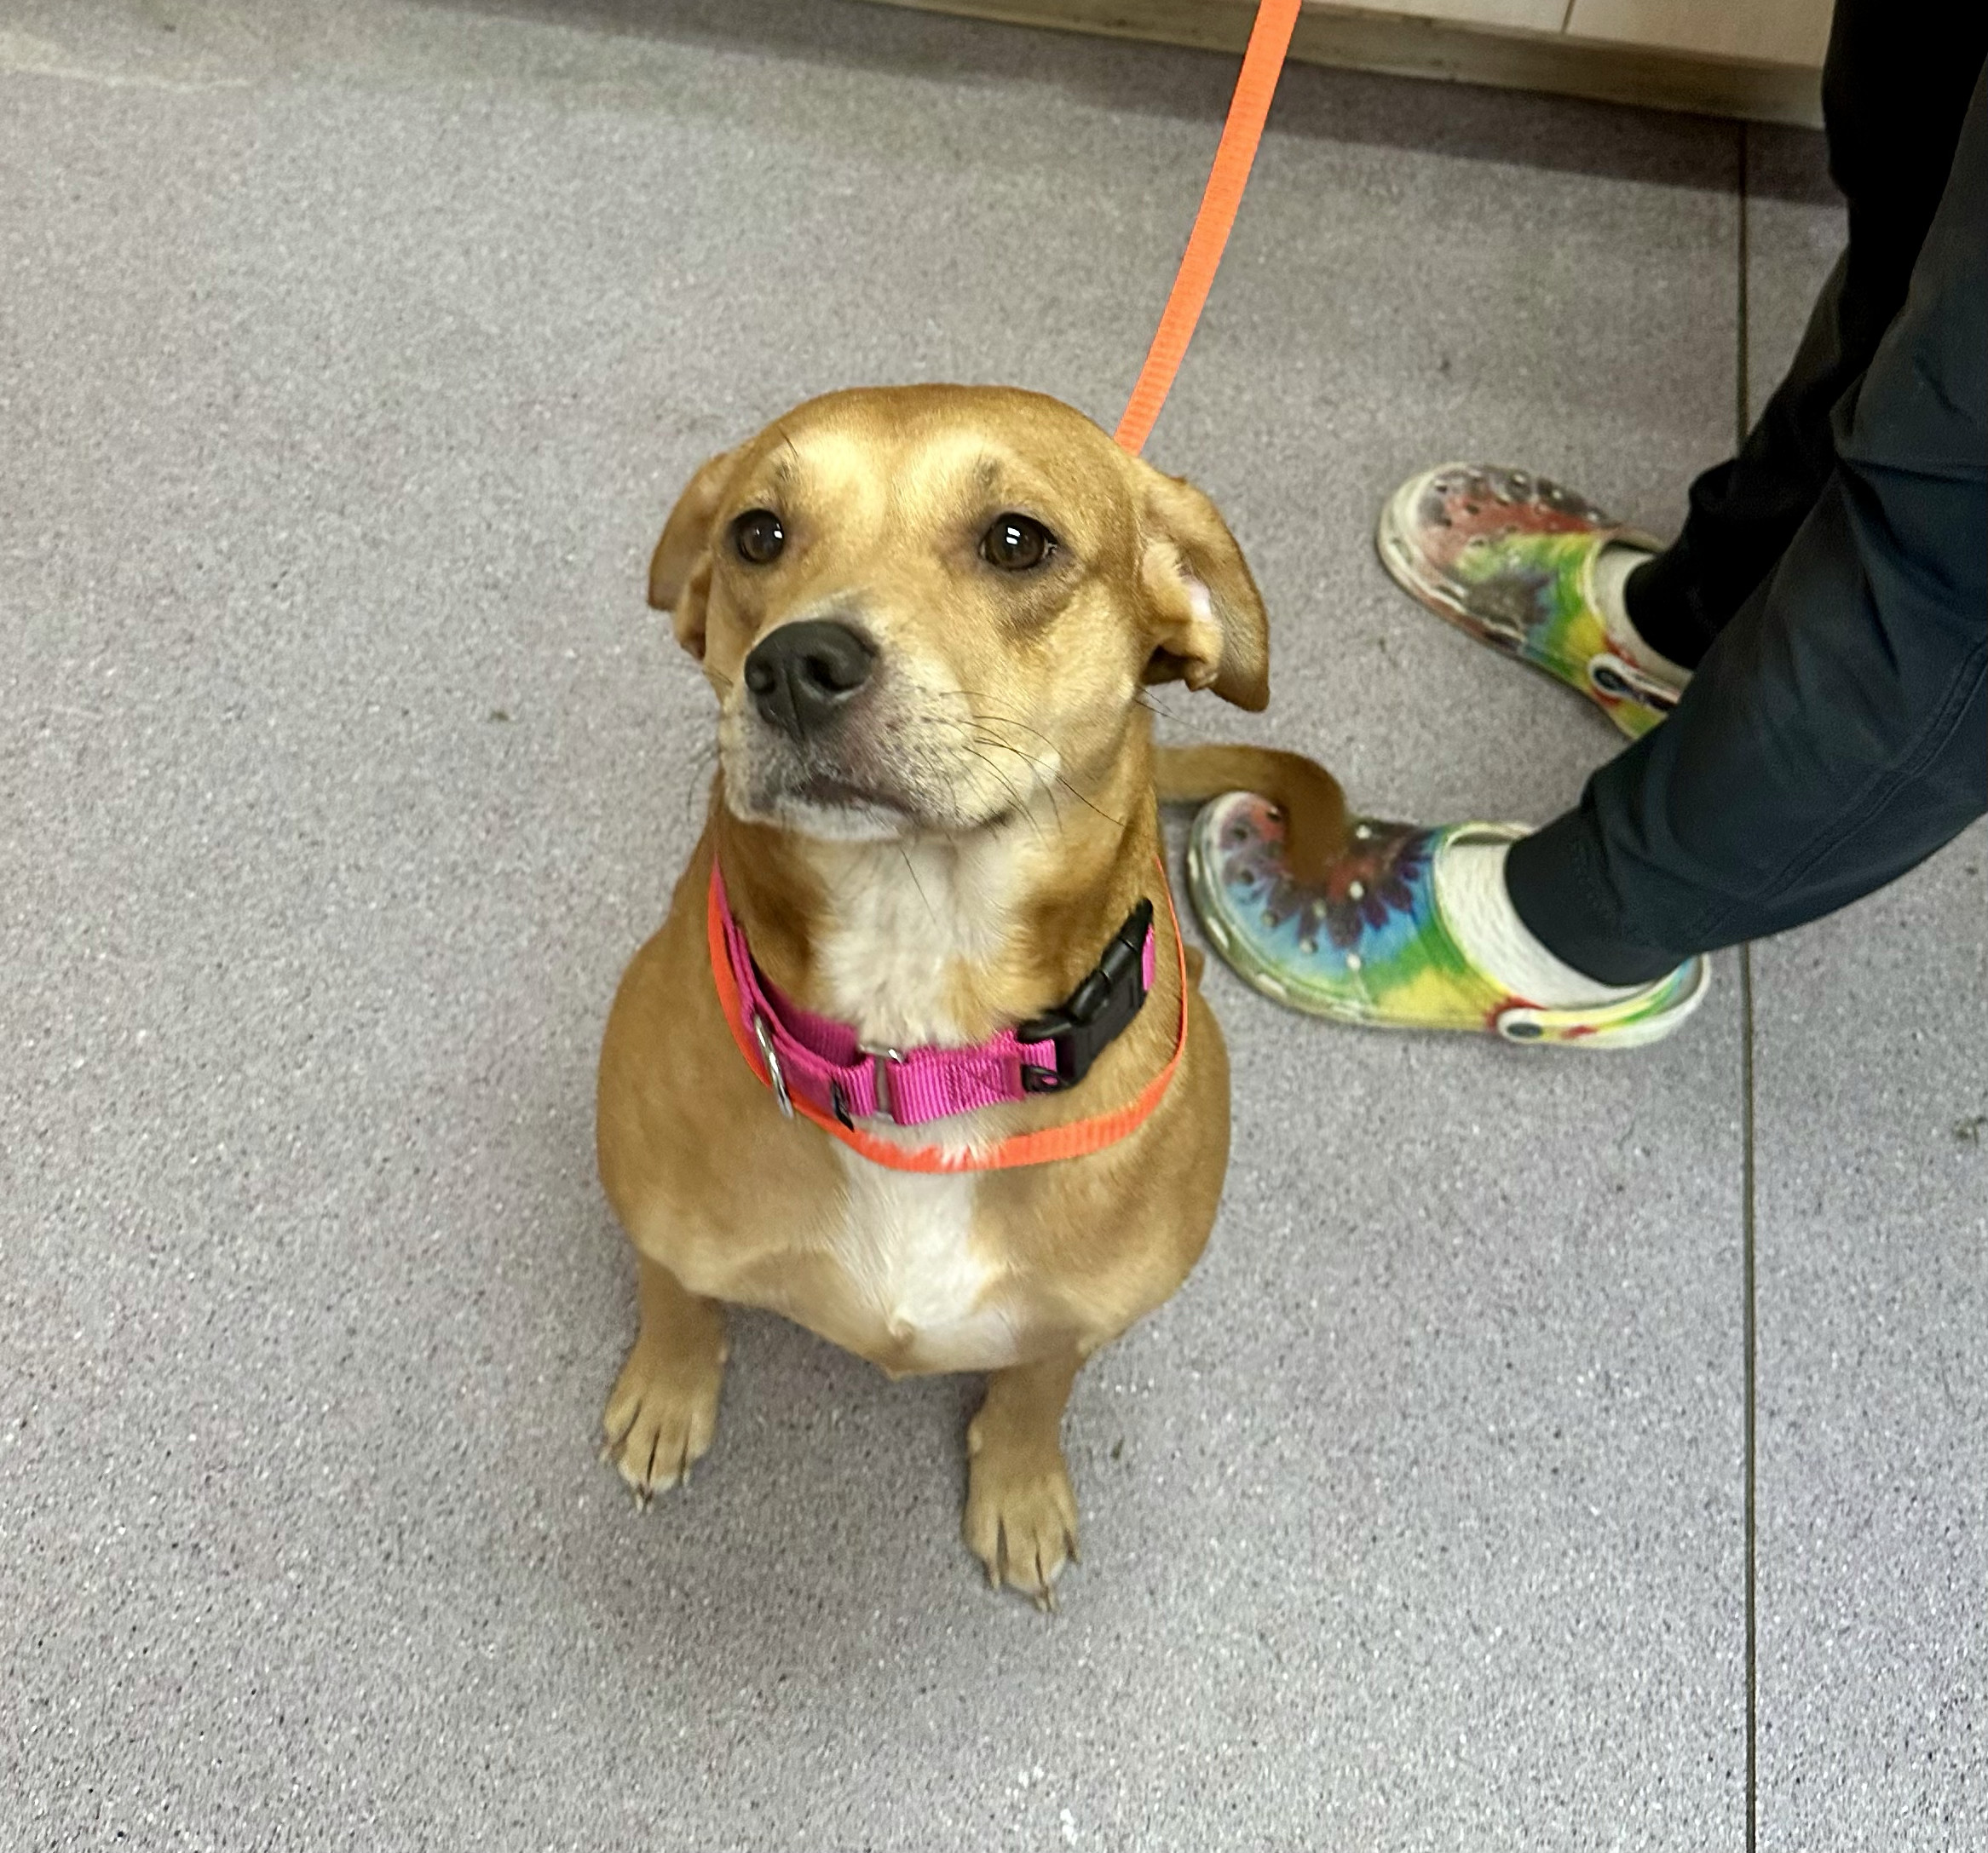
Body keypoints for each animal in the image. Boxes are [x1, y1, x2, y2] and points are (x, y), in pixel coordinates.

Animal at [596, 383, 1344, 1598]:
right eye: (758, 533)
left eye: (1015, 541)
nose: (793, 664)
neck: (919, 1042)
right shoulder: (662, 1222)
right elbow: (675, 1297)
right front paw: (667, 1392)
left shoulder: (1078, 1317)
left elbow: (1038, 1383)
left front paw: (1020, 1486)